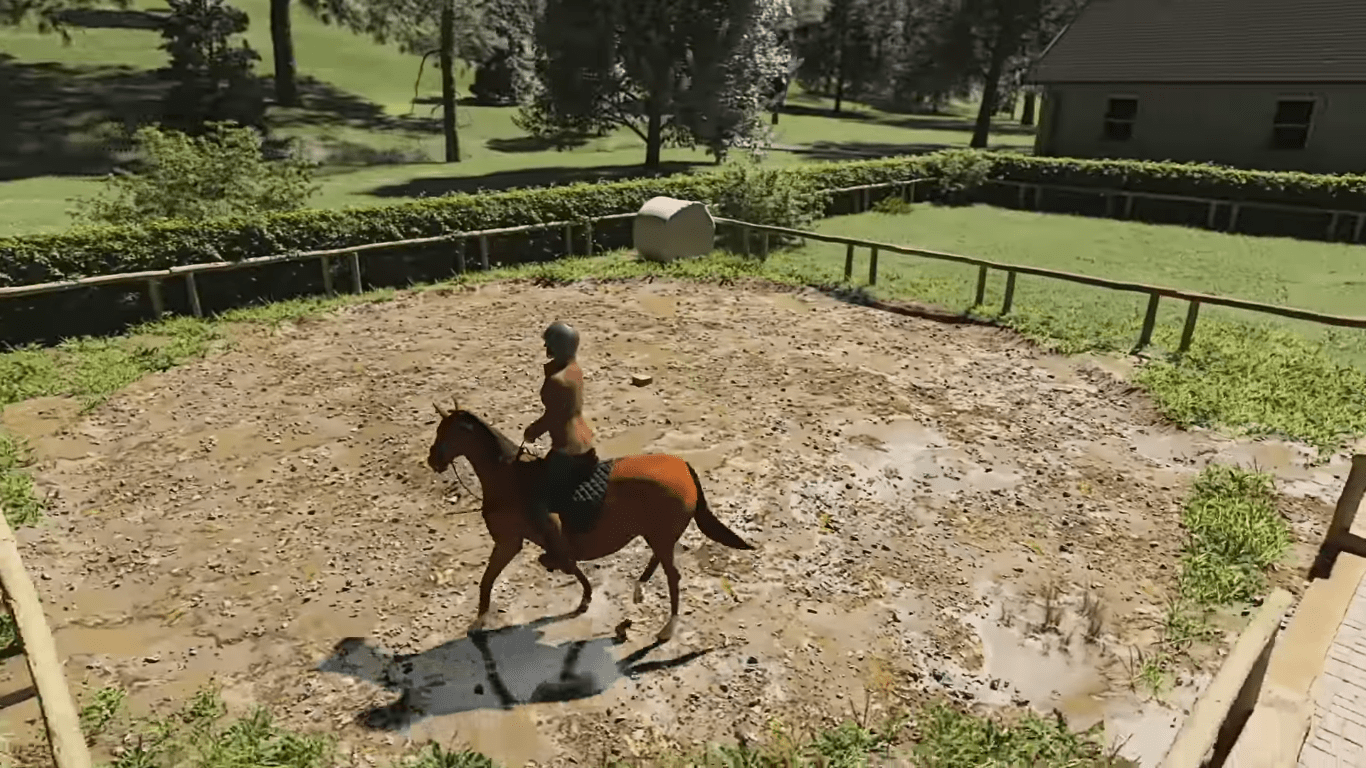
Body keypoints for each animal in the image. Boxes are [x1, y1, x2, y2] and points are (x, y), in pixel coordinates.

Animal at [425, 398, 756, 643]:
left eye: (448, 433)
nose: (433, 460)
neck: (509, 478)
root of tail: (683, 466)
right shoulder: (527, 542)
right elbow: (569, 566)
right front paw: (585, 597)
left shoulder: (509, 542)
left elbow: (489, 579)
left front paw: (479, 621)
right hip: (656, 535)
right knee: (658, 561)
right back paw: (639, 589)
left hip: (660, 536)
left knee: (673, 577)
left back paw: (667, 628)